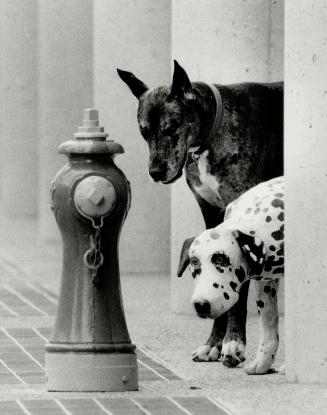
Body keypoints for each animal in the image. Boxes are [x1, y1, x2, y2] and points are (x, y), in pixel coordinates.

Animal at [179, 177, 284, 376]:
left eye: (221, 258)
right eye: (194, 261)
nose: (201, 305)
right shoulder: (264, 285)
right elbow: (268, 325)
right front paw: (263, 362)